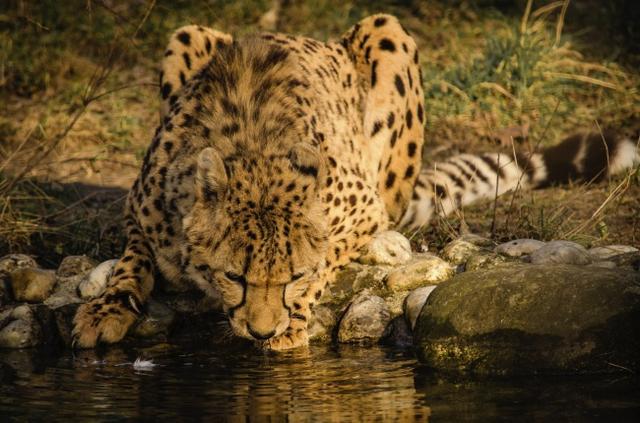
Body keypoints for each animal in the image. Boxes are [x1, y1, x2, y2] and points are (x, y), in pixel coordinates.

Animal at [71, 14, 640, 350]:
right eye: (234, 276)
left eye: (293, 276)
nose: (261, 329)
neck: (252, 148)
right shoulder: (142, 211)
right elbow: (133, 260)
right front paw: (105, 309)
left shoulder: (359, 205)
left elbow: (330, 254)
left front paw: (294, 323)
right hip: (189, 33)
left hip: (387, 32)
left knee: (396, 210)